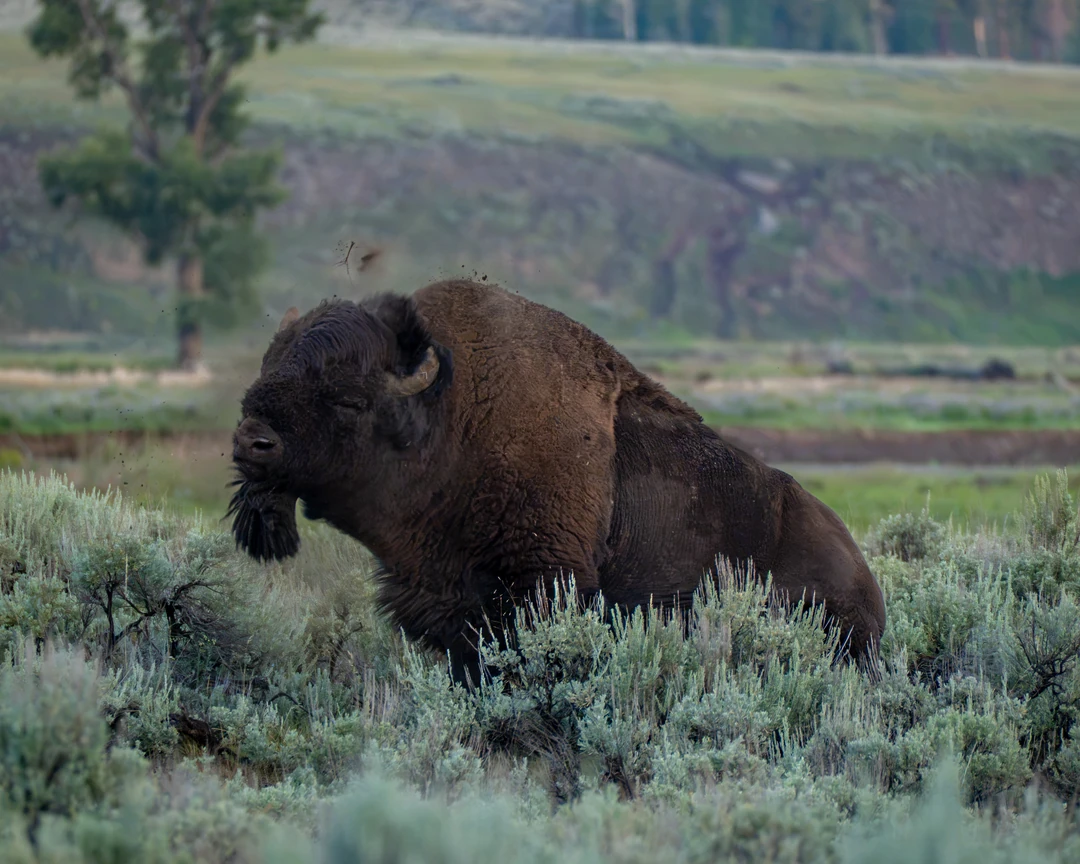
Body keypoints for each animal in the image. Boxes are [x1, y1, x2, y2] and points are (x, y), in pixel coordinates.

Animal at [228, 279, 886, 686]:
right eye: (264, 374)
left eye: (348, 398)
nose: (252, 442)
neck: (453, 417)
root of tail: (867, 584)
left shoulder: (539, 586)